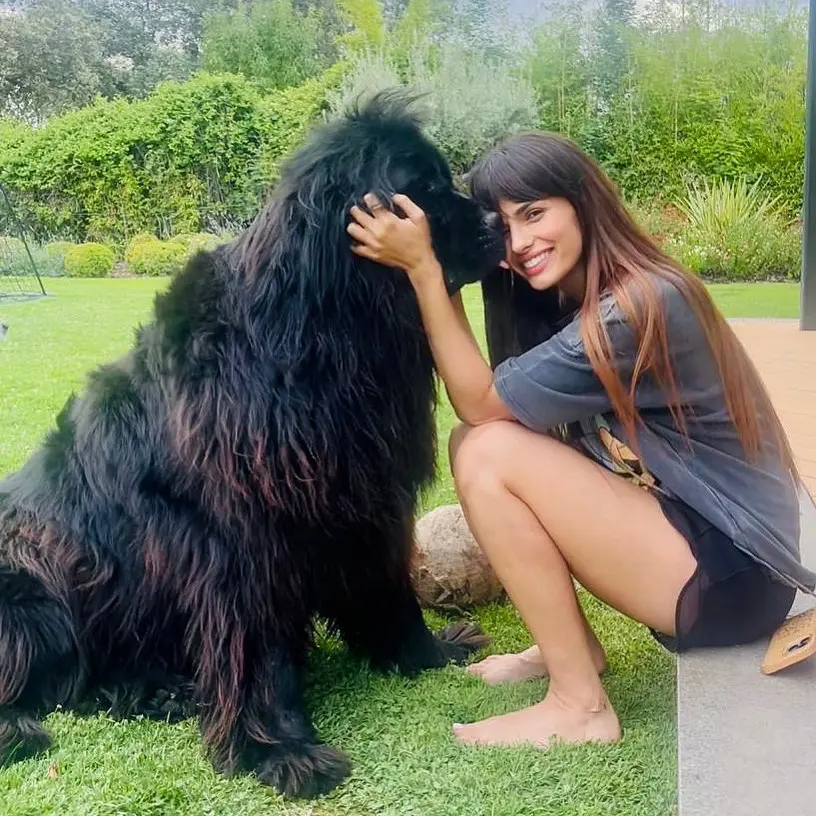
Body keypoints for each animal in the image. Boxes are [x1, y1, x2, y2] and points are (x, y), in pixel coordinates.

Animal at [0, 91, 504, 796]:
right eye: (424, 190)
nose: (500, 221)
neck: (320, 337)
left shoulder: (368, 502)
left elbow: (388, 588)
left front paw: (426, 653)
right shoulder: (240, 539)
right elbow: (256, 648)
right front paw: (281, 749)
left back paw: (161, 691)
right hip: (31, 598)